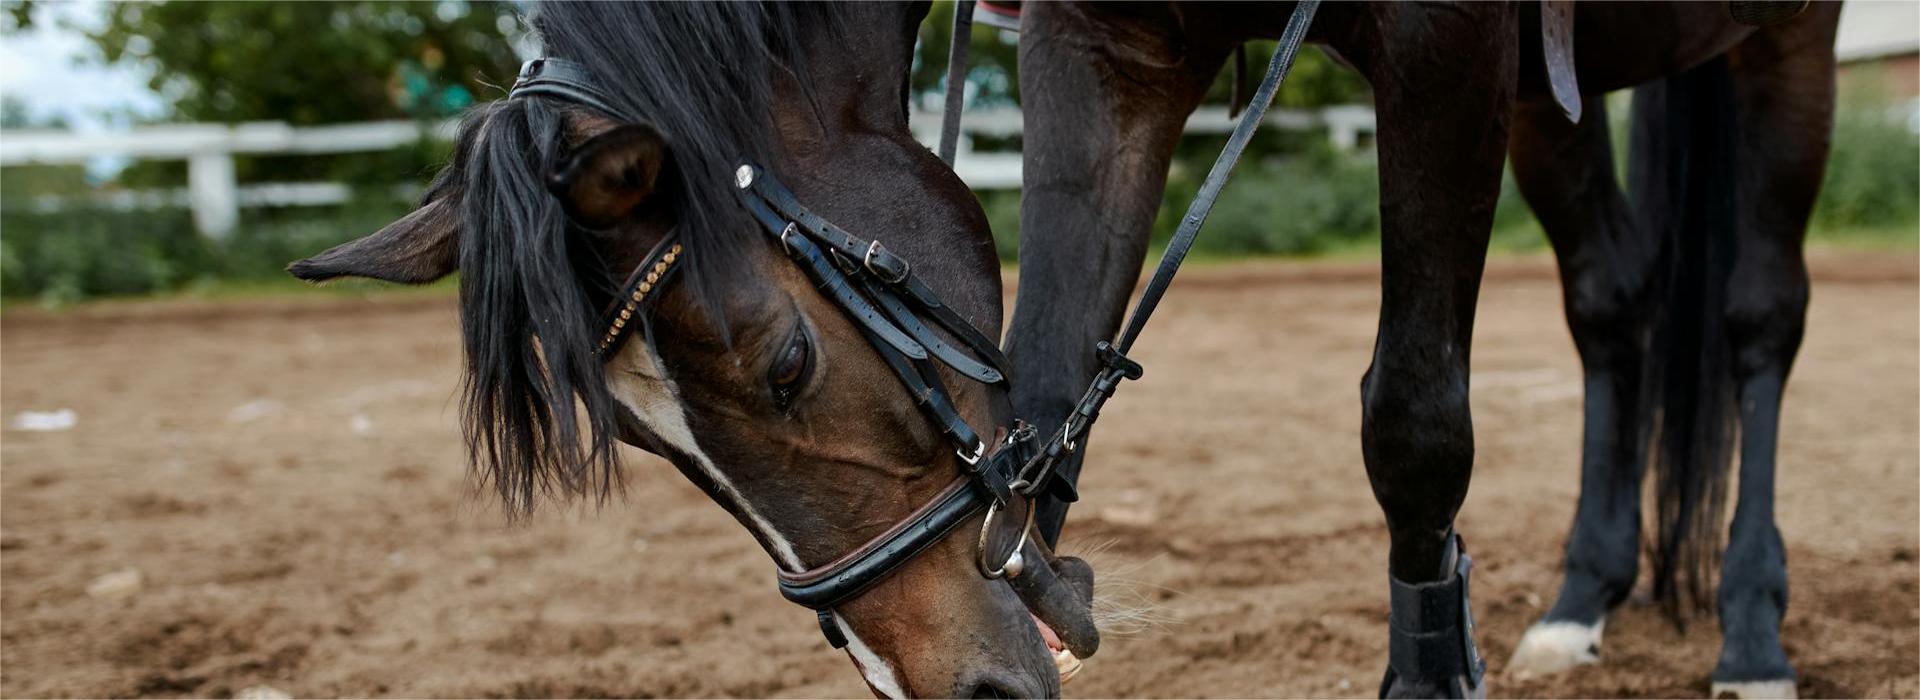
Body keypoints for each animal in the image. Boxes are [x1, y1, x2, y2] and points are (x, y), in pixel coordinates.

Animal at [1002, 2, 1840, 697]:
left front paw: (1428, 673)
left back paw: (1751, 629)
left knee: (1763, 314)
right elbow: (1039, 385)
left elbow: (1415, 423)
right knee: (1612, 300)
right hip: (1550, 91)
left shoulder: (1445, 40)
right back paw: (1581, 600)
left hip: (1788, 42)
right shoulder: (1102, 39)